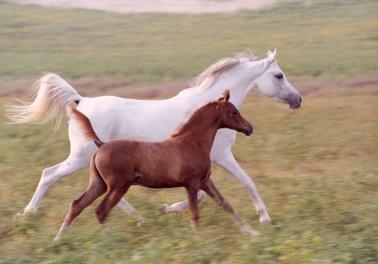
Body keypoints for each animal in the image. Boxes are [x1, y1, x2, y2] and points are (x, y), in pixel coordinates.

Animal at [8, 50, 302, 225]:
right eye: (279, 75)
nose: (297, 100)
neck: (208, 111)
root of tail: (82, 102)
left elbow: (204, 194)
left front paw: (167, 208)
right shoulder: (221, 156)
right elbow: (246, 182)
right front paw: (265, 218)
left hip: (95, 161)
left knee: (105, 190)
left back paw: (138, 217)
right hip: (81, 157)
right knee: (49, 174)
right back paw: (27, 214)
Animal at [54, 91, 258, 241]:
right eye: (234, 112)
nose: (249, 128)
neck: (193, 142)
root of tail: (101, 144)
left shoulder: (205, 181)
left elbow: (226, 204)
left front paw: (252, 233)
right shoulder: (192, 184)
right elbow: (194, 214)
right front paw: (198, 240)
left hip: (99, 184)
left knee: (77, 205)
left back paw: (58, 240)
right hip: (118, 186)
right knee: (101, 211)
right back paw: (107, 240)